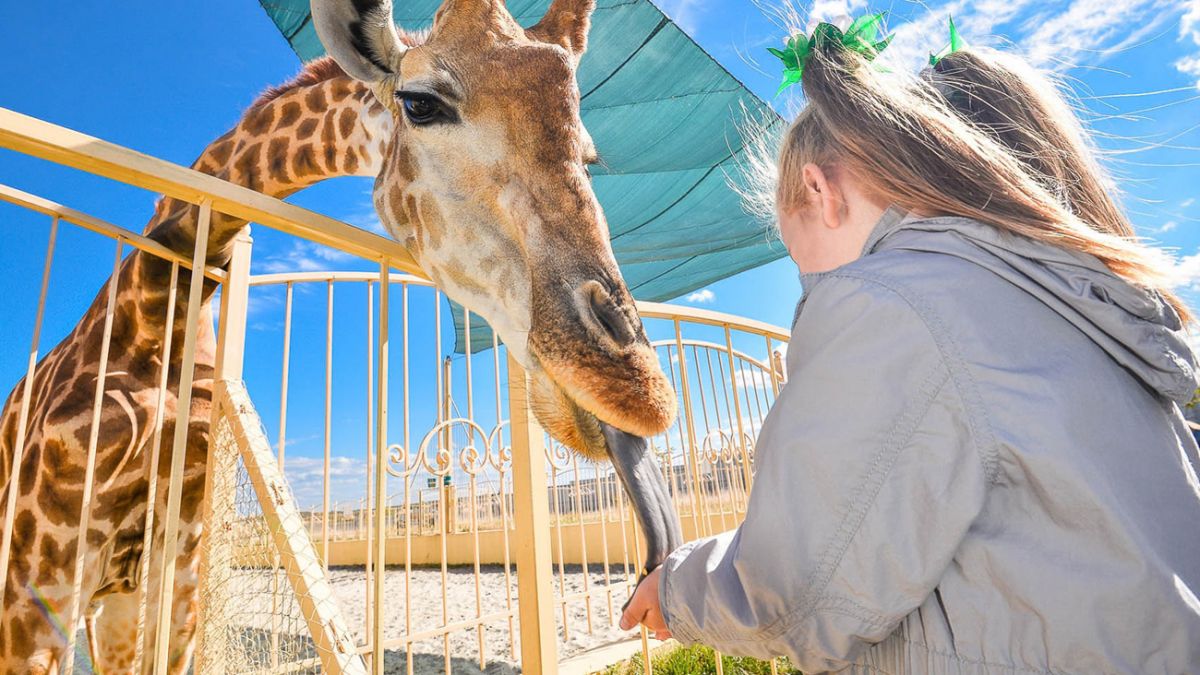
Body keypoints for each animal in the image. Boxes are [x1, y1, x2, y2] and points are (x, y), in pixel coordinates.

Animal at [0, 0, 681, 662]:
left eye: (588, 155)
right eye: (421, 103)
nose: (635, 388)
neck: (153, 316)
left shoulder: (174, 580)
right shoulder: (38, 578)